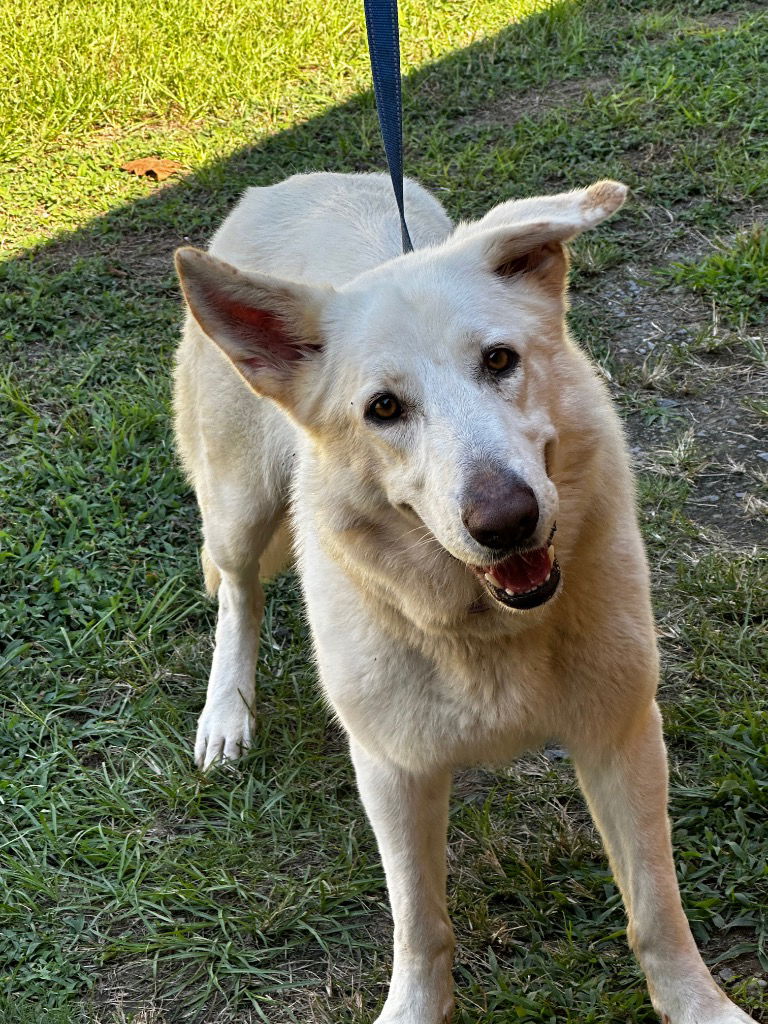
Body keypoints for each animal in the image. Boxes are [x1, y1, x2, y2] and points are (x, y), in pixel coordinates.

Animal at [171, 172, 753, 1019]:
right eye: (383, 408)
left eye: (500, 360)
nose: (506, 521)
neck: (484, 628)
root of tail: (294, 180)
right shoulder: (392, 771)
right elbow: (420, 924)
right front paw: (417, 1007)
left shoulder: (621, 735)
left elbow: (655, 906)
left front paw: (695, 1004)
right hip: (241, 508)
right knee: (237, 597)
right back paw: (227, 713)